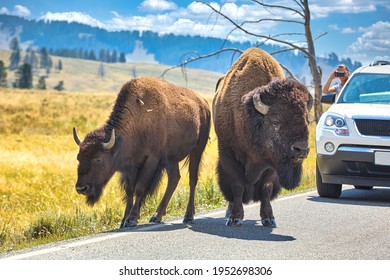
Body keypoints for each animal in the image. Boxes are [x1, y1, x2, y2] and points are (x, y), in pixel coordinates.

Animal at [74, 76, 212, 228]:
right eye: (78, 158)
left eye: (98, 159)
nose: (81, 188)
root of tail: (204, 104)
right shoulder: (131, 165)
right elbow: (129, 190)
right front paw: (124, 219)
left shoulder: (151, 159)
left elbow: (139, 188)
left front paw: (132, 219)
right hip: (171, 159)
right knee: (174, 178)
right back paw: (157, 216)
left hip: (197, 150)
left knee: (192, 179)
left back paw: (188, 216)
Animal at [212, 47, 312, 228]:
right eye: (275, 121)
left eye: (307, 121)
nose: (301, 149)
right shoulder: (229, 155)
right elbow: (237, 186)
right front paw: (235, 218)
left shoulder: (271, 163)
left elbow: (266, 189)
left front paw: (268, 218)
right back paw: (229, 212)